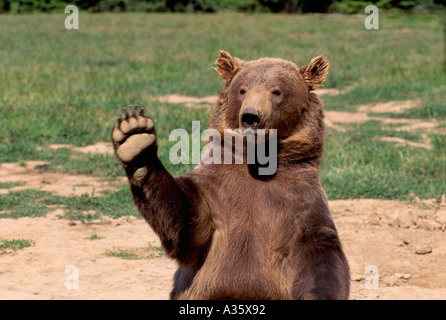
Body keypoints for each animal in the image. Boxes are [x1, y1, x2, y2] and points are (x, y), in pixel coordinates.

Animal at [110, 50, 348, 300]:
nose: (251, 117)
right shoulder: (217, 189)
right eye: (242, 89)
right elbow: (187, 224)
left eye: (277, 91)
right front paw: (135, 140)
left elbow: (321, 251)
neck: (259, 160)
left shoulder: (300, 199)